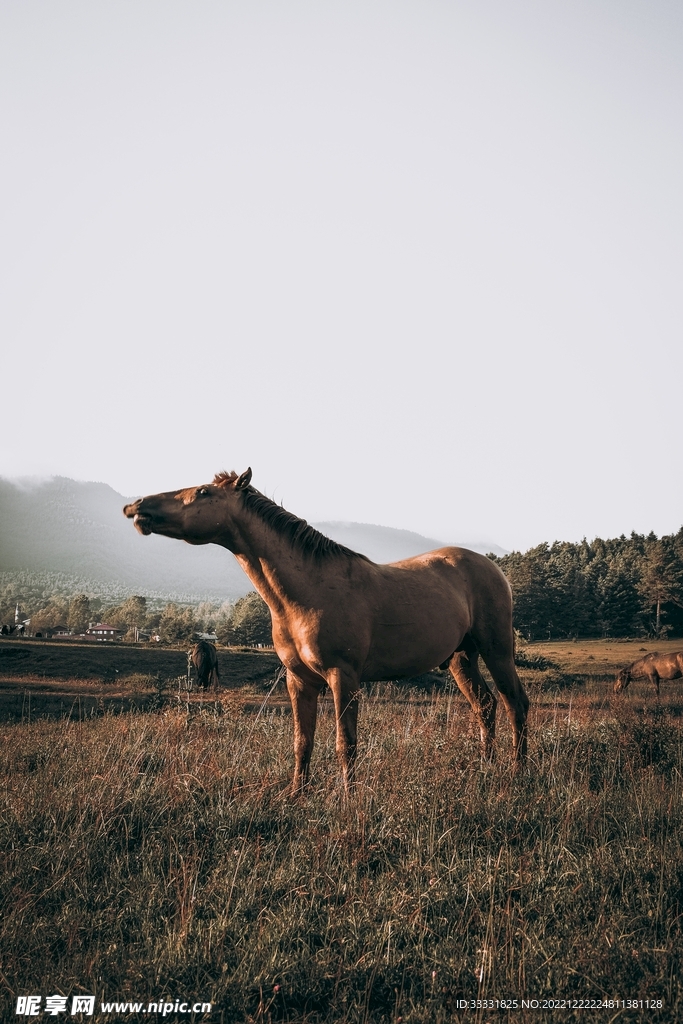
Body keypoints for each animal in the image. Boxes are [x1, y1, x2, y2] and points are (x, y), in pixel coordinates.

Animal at [123, 468, 529, 793]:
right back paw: (485, 771)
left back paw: (517, 775)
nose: (137, 506)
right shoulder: (298, 680)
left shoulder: (342, 677)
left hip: (496, 651)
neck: (307, 594)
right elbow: (303, 741)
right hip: (461, 658)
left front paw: (348, 799)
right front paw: (296, 795)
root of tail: (493, 568)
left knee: (515, 704)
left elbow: (344, 743)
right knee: (485, 706)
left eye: (204, 492)